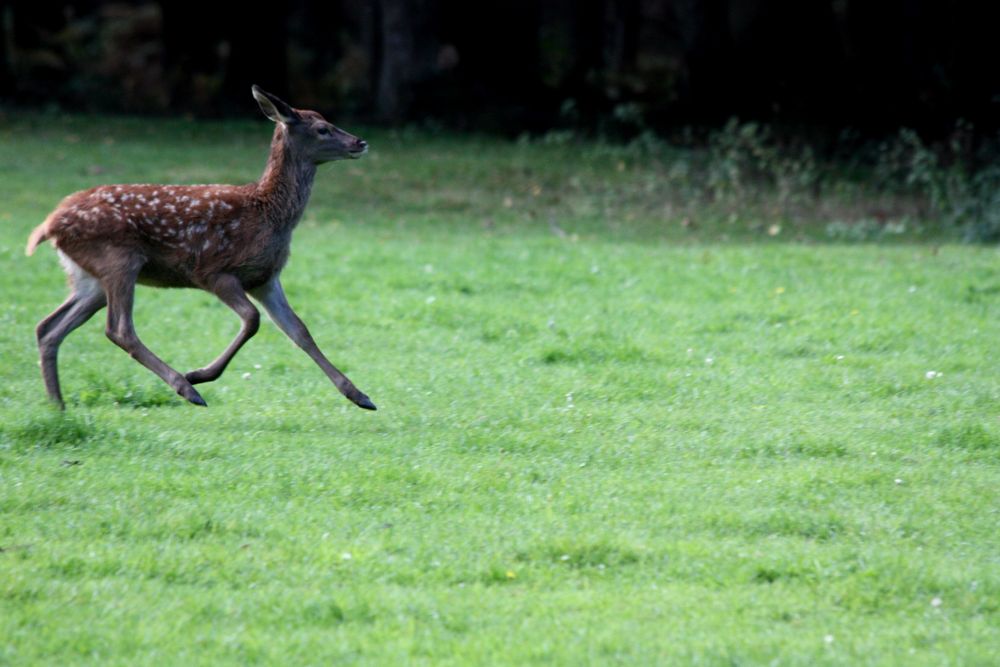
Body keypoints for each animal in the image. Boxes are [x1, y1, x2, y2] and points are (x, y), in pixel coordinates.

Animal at [28, 86, 378, 412]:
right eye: (322, 128)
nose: (360, 142)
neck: (268, 215)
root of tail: (48, 225)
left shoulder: (265, 278)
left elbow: (300, 331)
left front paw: (360, 396)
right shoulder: (213, 270)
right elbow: (252, 319)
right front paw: (199, 374)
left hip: (90, 277)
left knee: (48, 327)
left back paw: (57, 405)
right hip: (119, 259)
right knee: (119, 329)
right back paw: (186, 388)